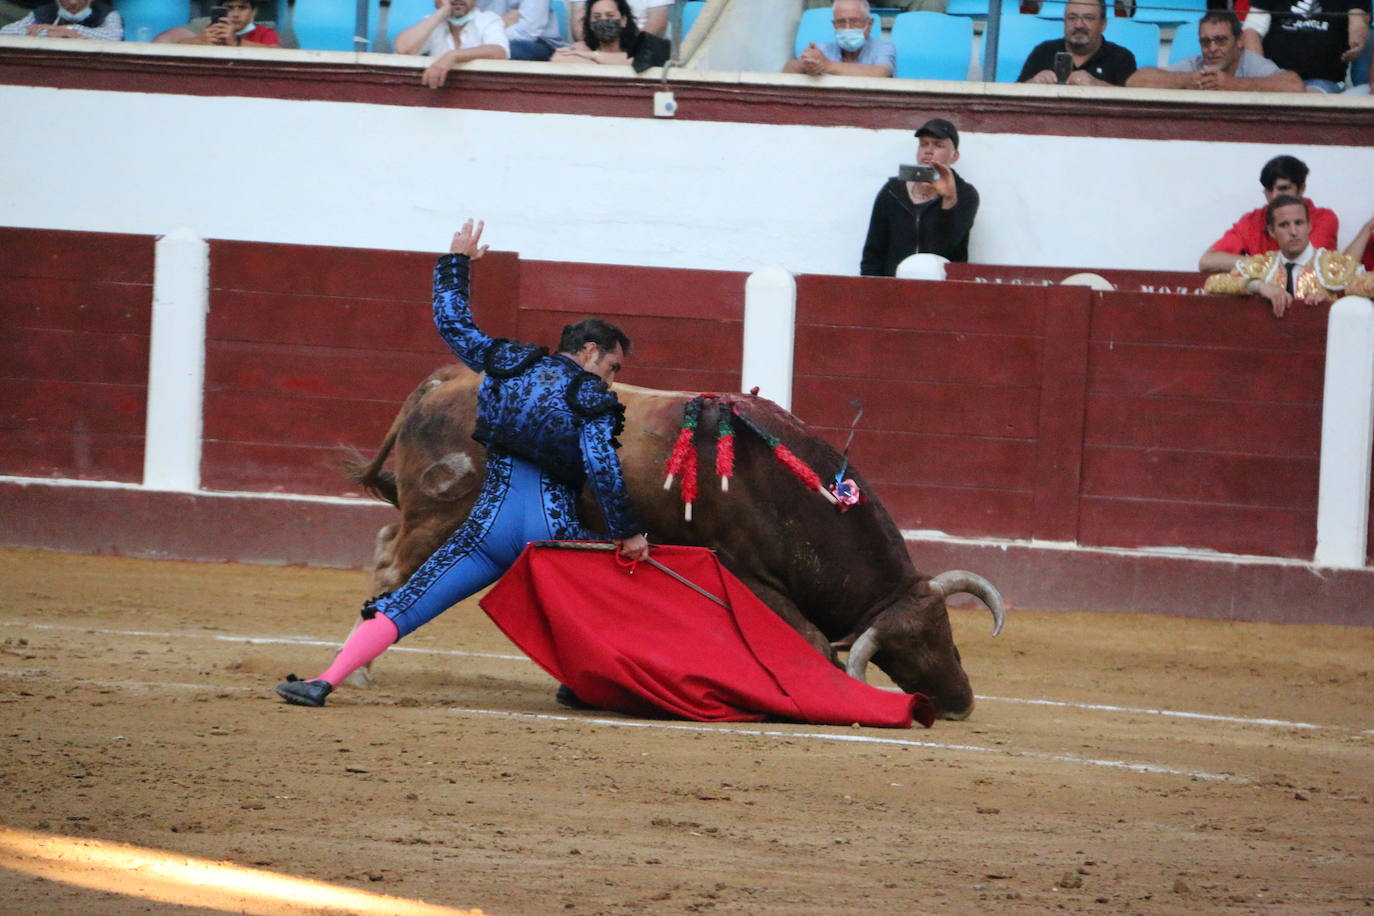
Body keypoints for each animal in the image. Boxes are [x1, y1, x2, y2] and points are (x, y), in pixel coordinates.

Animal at [348, 362, 1005, 714]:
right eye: (906, 650)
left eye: (948, 634)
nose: (960, 701)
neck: (788, 489)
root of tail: (446, 378)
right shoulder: (746, 571)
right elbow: (813, 639)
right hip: (443, 520)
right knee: (396, 575)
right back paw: (358, 675)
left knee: (383, 545)